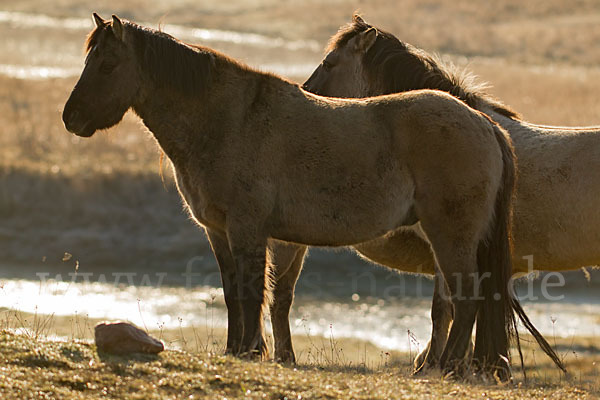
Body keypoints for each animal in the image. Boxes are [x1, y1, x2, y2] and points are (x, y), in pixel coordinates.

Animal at [64, 13, 520, 378]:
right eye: (88, 61)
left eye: (107, 64)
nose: (71, 118)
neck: (228, 120)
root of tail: (484, 122)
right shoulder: (219, 232)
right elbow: (233, 293)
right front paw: (235, 351)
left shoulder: (248, 230)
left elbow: (252, 293)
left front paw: (250, 352)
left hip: (451, 236)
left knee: (466, 297)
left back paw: (449, 368)